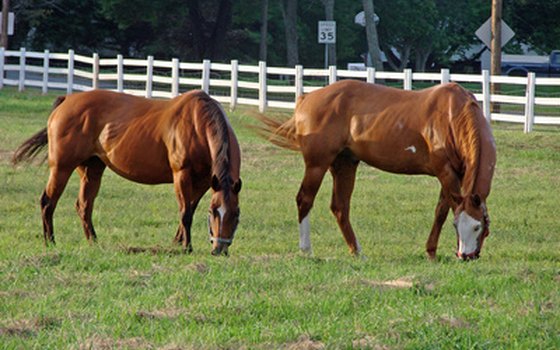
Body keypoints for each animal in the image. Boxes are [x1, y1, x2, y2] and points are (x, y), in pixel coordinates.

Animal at [12, 89, 241, 256]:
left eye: (236, 214)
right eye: (214, 213)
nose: (219, 249)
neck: (196, 123)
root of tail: (67, 99)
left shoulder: (205, 182)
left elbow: (190, 209)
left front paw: (178, 241)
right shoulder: (181, 175)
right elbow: (185, 213)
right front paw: (187, 247)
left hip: (91, 170)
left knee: (84, 206)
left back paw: (93, 241)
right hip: (61, 168)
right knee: (48, 202)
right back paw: (50, 241)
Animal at [256, 80, 496, 260]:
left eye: (478, 226)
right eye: (458, 226)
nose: (466, 256)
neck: (452, 114)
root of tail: (306, 98)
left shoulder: (455, 175)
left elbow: (442, 210)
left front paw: (431, 251)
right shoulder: (444, 172)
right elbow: (443, 213)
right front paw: (432, 252)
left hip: (344, 165)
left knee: (340, 207)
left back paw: (357, 252)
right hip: (317, 165)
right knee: (305, 200)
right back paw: (307, 250)